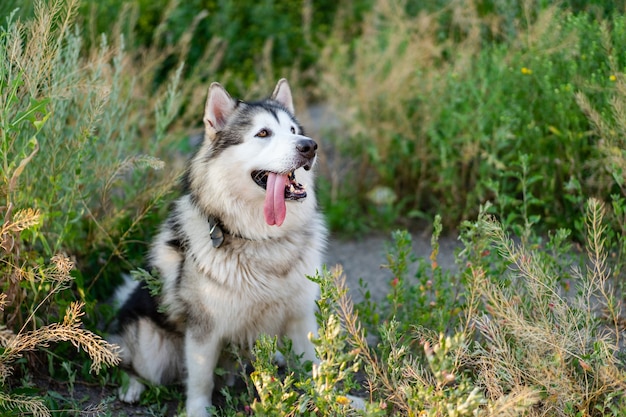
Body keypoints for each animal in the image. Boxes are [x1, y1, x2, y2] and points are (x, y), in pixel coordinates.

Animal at [110, 79, 326, 414]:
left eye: (293, 130)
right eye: (263, 133)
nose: (309, 146)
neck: (260, 239)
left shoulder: (300, 317)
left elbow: (315, 369)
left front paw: (339, 400)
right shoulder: (204, 330)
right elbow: (201, 380)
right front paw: (197, 411)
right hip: (150, 348)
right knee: (131, 364)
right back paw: (131, 387)